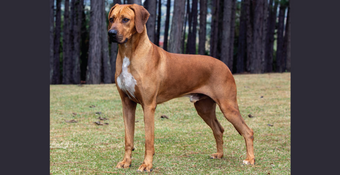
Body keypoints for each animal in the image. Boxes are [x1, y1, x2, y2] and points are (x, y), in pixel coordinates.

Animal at [107, 3, 254, 172]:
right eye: (111, 19)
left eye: (126, 19)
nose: (111, 33)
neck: (129, 53)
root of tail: (225, 66)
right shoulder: (127, 104)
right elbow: (128, 138)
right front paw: (126, 162)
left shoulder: (148, 105)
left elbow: (148, 139)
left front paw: (147, 164)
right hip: (204, 107)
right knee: (219, 129)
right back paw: (219, 154)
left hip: (228, 106)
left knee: (248, 131)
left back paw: (250, 159)